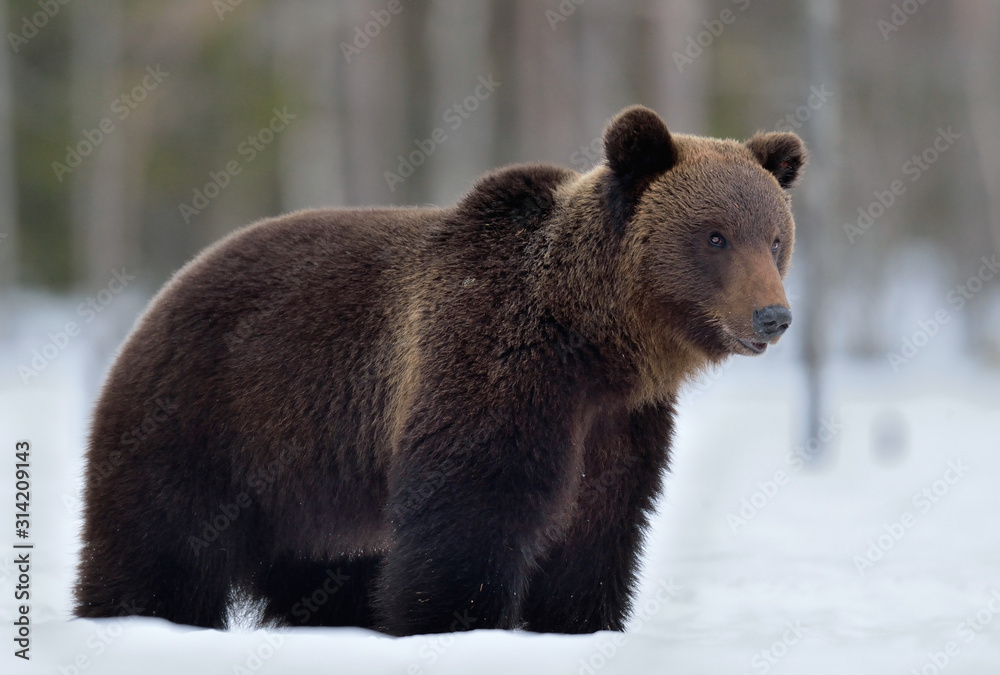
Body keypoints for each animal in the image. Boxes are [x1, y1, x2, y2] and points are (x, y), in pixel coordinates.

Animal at [74, 107, 804, 640]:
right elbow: (473, 507)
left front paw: (574, 624)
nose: (773, 315)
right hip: (209, 416)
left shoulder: (618, 420)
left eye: (774, 238)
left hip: (307, 487)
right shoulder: (491, 362)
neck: (593, 341)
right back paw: (135, 616)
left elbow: (598, 523)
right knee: (158, 540)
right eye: (714, 236)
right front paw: (455, 622)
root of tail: (166, 289)